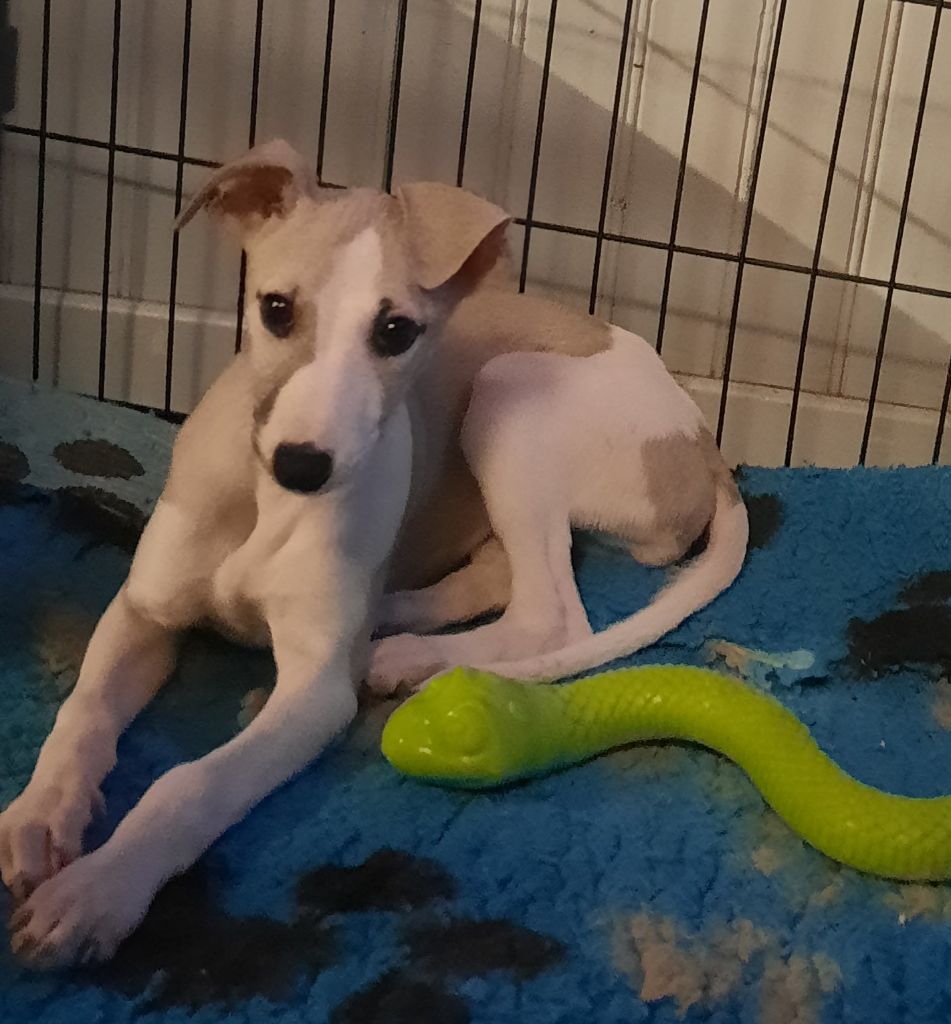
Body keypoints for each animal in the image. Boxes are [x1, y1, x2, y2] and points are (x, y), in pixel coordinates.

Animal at [0, 139, 747, 966]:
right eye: (275, 309)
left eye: (395, 331)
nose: (301, 466)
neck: (265, 506)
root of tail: (704, 442)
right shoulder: (145, 609)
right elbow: (83, 709)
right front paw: (42, 813)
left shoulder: (316, 691)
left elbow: (189, 785)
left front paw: (100, 891)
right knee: (498, 577)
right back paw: (394, 625)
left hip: (509, 390)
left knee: (553, 613)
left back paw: (407, 656)